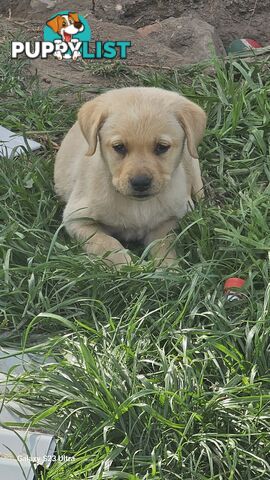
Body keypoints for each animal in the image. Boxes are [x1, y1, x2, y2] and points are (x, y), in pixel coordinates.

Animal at [54, 86, 207, 266]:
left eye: (162, 147)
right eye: (119, 147)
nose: (140, 183)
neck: (138, 206)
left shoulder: (168, 221)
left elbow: (164, 245)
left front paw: (169, 267)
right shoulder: (76, 219)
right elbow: (106, 242)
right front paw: (124, 265)